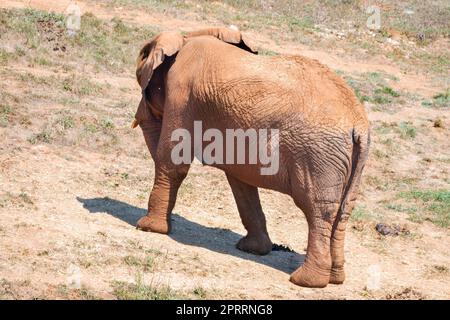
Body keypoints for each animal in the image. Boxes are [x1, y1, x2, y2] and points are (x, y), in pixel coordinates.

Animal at [131, 27, 370, 288]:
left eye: (141, 59)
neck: (186, 36)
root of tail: (357, 123)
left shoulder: (181, 94)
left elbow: (173, 160)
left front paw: (147, 227)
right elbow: (240, 179)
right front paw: (254, 249)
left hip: (318, 154)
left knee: (317, 207)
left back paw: (305, 281)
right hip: (348, 160)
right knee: (344, 210)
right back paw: (335, 278)